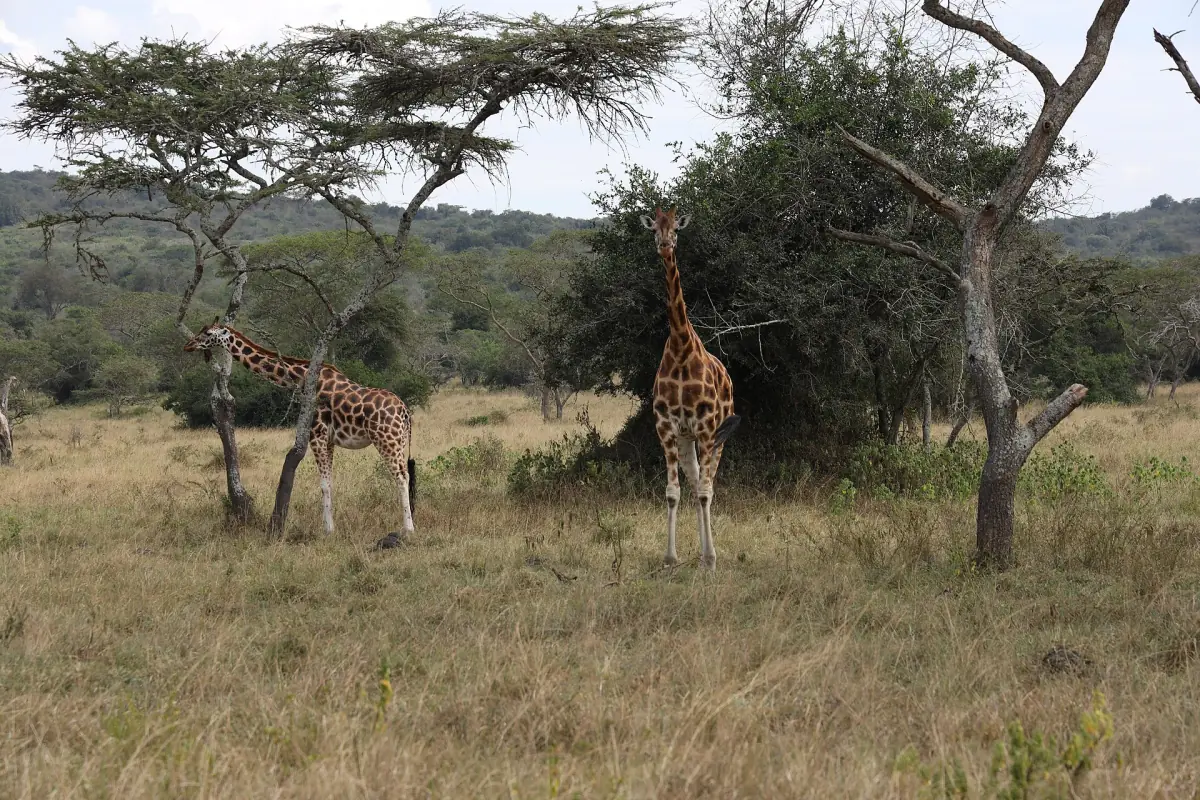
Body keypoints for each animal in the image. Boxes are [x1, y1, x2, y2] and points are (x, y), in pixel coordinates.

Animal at [183, 323, 415, 536]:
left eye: (207, 333)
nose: (188, 345)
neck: (301, 379)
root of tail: (404, 412)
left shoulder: (317, 434)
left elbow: (323, 484)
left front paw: (328, 530)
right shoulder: (329, 440)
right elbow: (329, 482)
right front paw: (330, 527)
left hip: (386, 439)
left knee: (401, 477)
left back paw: (409, 529)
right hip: (400, 440)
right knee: (406, 474)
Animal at [640, 208, 740, 570]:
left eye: (676, 230)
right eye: (654, 228)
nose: (665, 245)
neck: (681, 347)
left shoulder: (708, 425)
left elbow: (704, 492)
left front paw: (709, 559)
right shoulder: (667, 426)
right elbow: (673, 493)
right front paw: (670, 559)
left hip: (717, 435)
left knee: (706, 486)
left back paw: (708, 554)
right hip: (688, 439)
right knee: (697, 481)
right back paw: (699, 551)